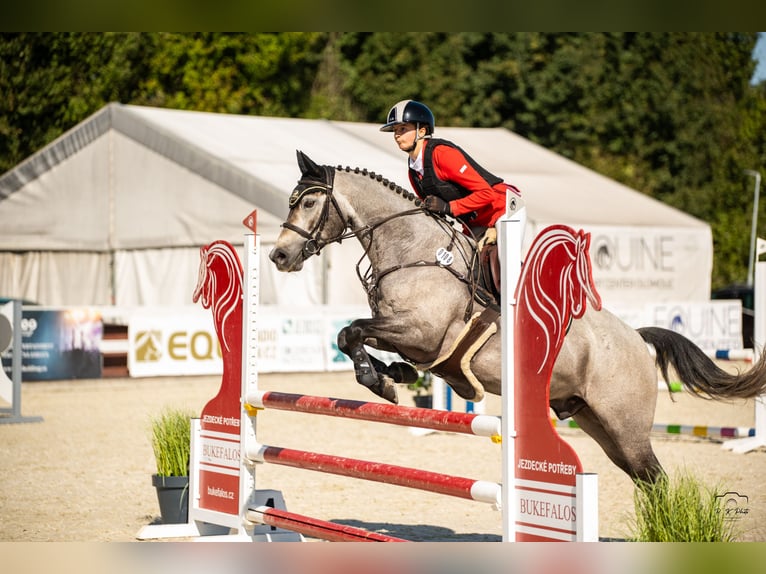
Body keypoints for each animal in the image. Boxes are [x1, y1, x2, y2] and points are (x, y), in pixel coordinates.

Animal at [268, 150, 766, 483]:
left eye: (308, 203)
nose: (279, 256)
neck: (412, 250)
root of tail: (635, 338)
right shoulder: (405, 335)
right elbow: (350, 335)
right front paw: (394, 376)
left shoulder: (423, 332)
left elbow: (353, 332)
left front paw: (384, 382)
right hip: (594, 420)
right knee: (642, 477)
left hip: (626, 425)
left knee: (654, 477)